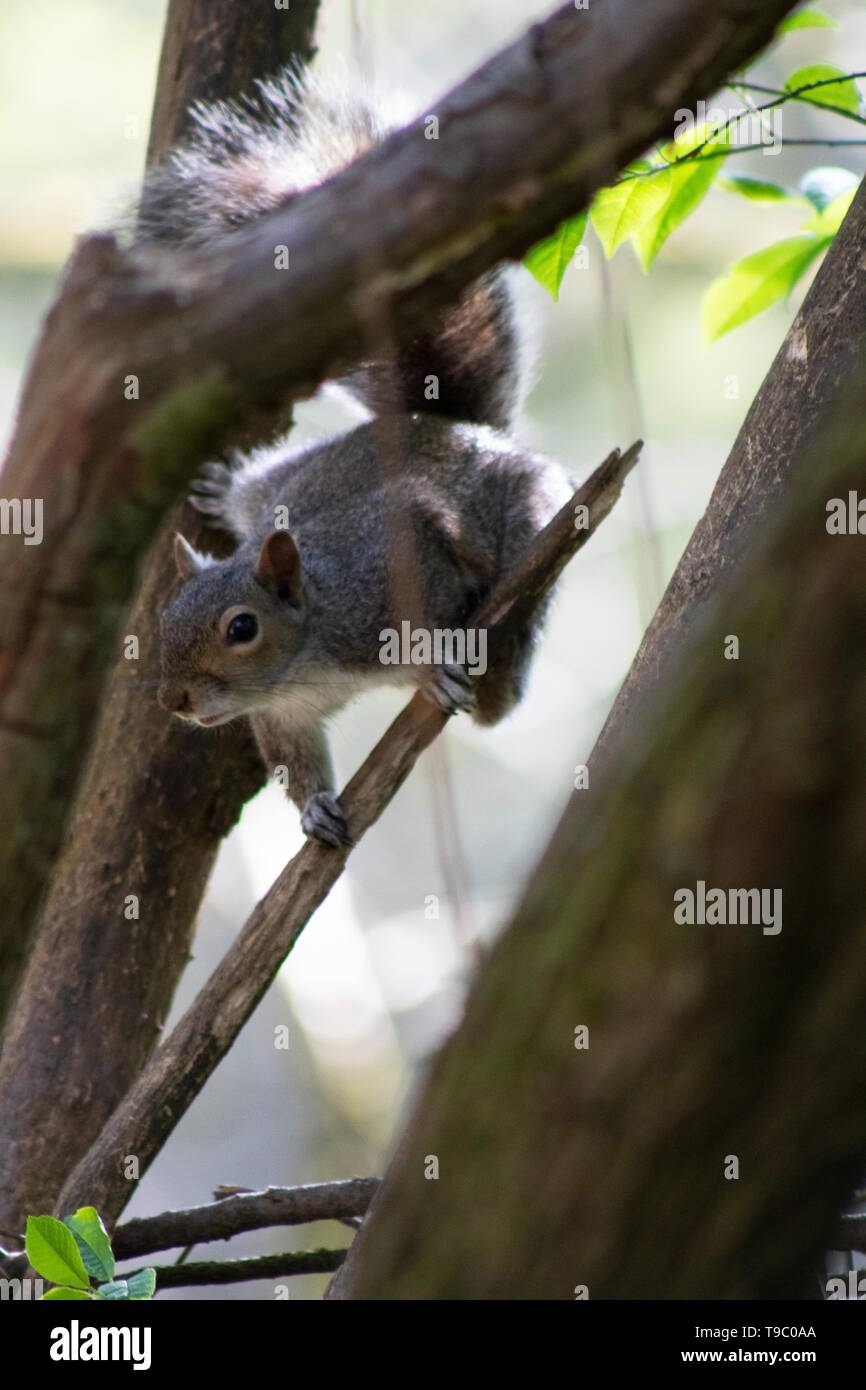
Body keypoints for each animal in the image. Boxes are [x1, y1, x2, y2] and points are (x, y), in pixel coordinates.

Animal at [149, 65, 574, 848]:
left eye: (241, 628)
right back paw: (224, 486)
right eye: (165, 622)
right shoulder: (282, 716)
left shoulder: (391, 580)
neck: (306, 655)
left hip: (532, 514)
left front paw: (434, 671)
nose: (175, 699)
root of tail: (453, 426)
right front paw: (315, 809)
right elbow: (295, 764)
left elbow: (428, 606)